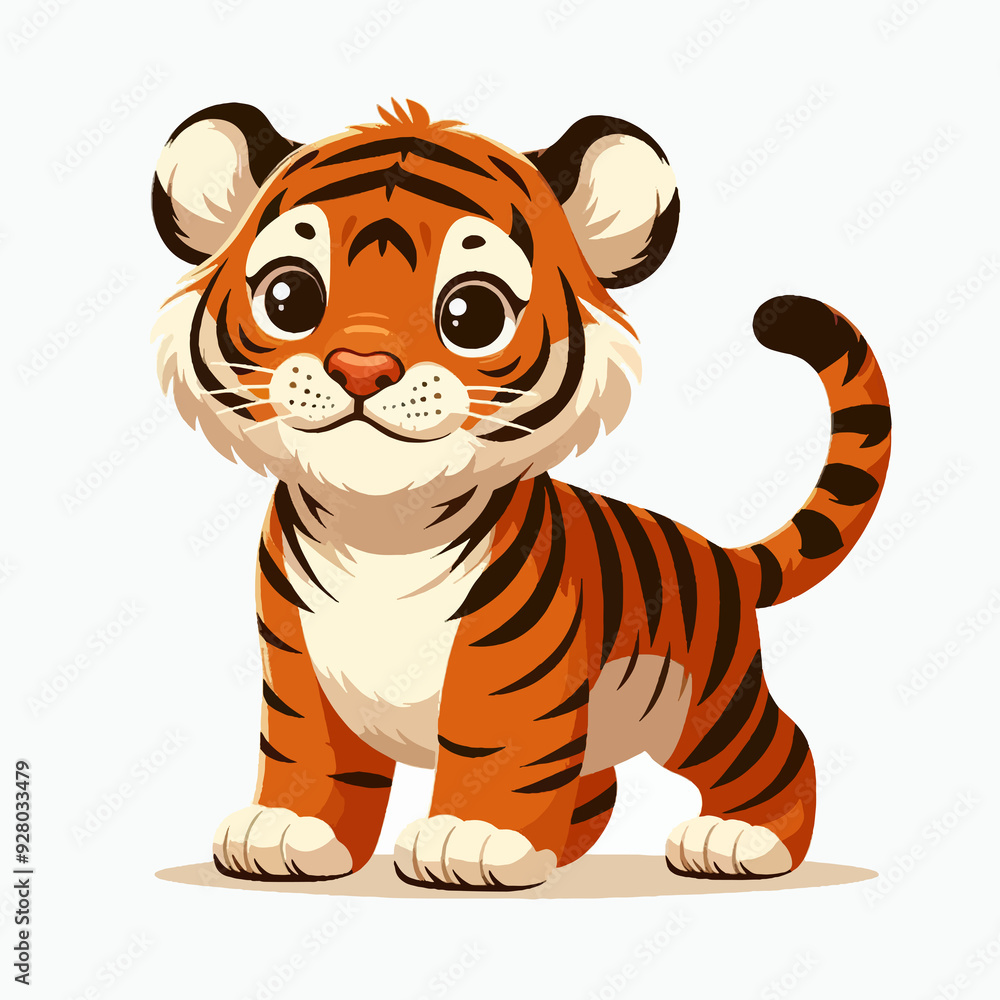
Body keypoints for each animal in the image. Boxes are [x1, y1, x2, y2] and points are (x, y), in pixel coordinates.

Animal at [151, 99, 890, 890]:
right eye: (289, 297)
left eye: (471, 313)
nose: (362, 367)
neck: (381, 527)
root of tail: (722, 555)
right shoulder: (297, 658)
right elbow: (311, 754)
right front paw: (288, 829)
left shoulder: (512, 659)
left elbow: (497, 752)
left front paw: (471, 842)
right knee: (596, 785)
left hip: (702, 702)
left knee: (780, 746)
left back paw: (739, 839)